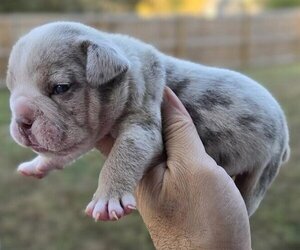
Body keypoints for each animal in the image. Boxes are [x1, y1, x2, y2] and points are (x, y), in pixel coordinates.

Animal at [6, 21, 288, 221]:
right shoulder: (88, 135)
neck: (126, 72)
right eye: (11, 88)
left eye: (61, 88)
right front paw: (37, 164)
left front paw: (107, 199)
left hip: (264, 167)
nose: (22, 119)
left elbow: (123, 154)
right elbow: (63, 154)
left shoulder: (142, 126)